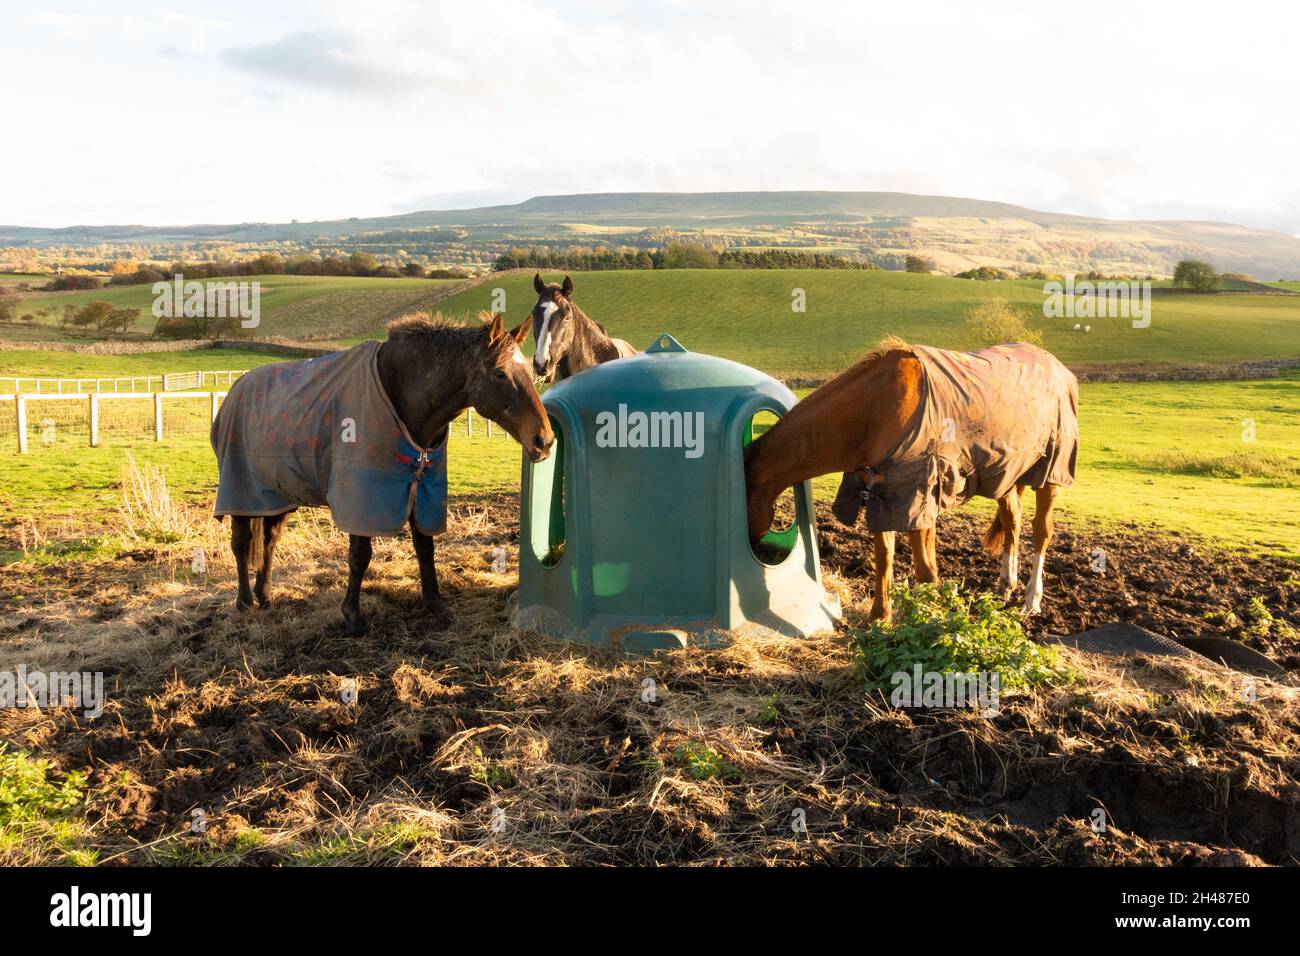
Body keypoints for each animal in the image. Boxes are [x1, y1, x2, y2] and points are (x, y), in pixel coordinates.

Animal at [223, 314, 548, 634]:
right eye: (500, 374)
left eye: (529, 370)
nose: (544, 439)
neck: (402, 395)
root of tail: (238, 386)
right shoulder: (362, 498)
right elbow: (359, 557)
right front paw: (352, 616)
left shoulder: (423, 493)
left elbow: (425, 548)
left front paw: (435, 604)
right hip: (242, 491)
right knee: (241, 544)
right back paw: (244, 601)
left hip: (278, 495)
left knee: (269, 540)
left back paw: (265, 596)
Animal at [743, 340, 1076, 624]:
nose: (756, 550)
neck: (876, 411)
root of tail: (1059, 368)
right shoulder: (882, 494)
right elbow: (885, 557)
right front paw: (879, 617)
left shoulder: (920, 495)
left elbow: (925, 569)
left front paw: (928, 620)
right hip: (1005, 474)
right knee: (1012, 520)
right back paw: (1006, 585)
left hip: (1051, 471)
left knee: (1042, 531)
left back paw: (1031, 600)